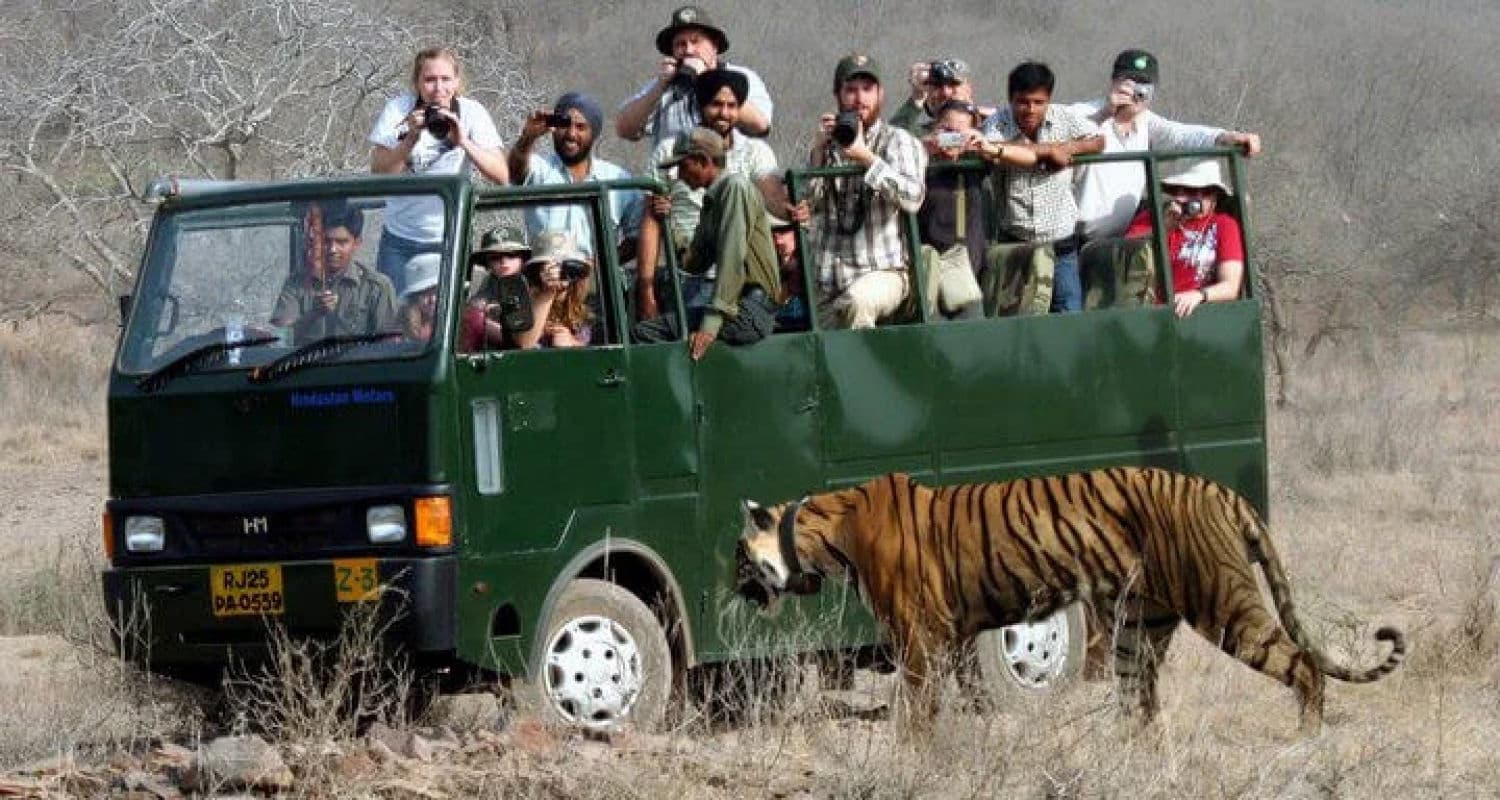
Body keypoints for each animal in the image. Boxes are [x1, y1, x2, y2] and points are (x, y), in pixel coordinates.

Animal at [734, 467, 1405, 729]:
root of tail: (1222, 490)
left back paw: (1308, 736)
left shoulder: (917, 636)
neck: (821, 531)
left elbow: (918, 710)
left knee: (1302, 665)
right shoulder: (949, 635)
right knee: (1141, 704)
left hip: (1224, 604)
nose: (732, 591)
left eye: (739, 556)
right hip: (1140, 627)